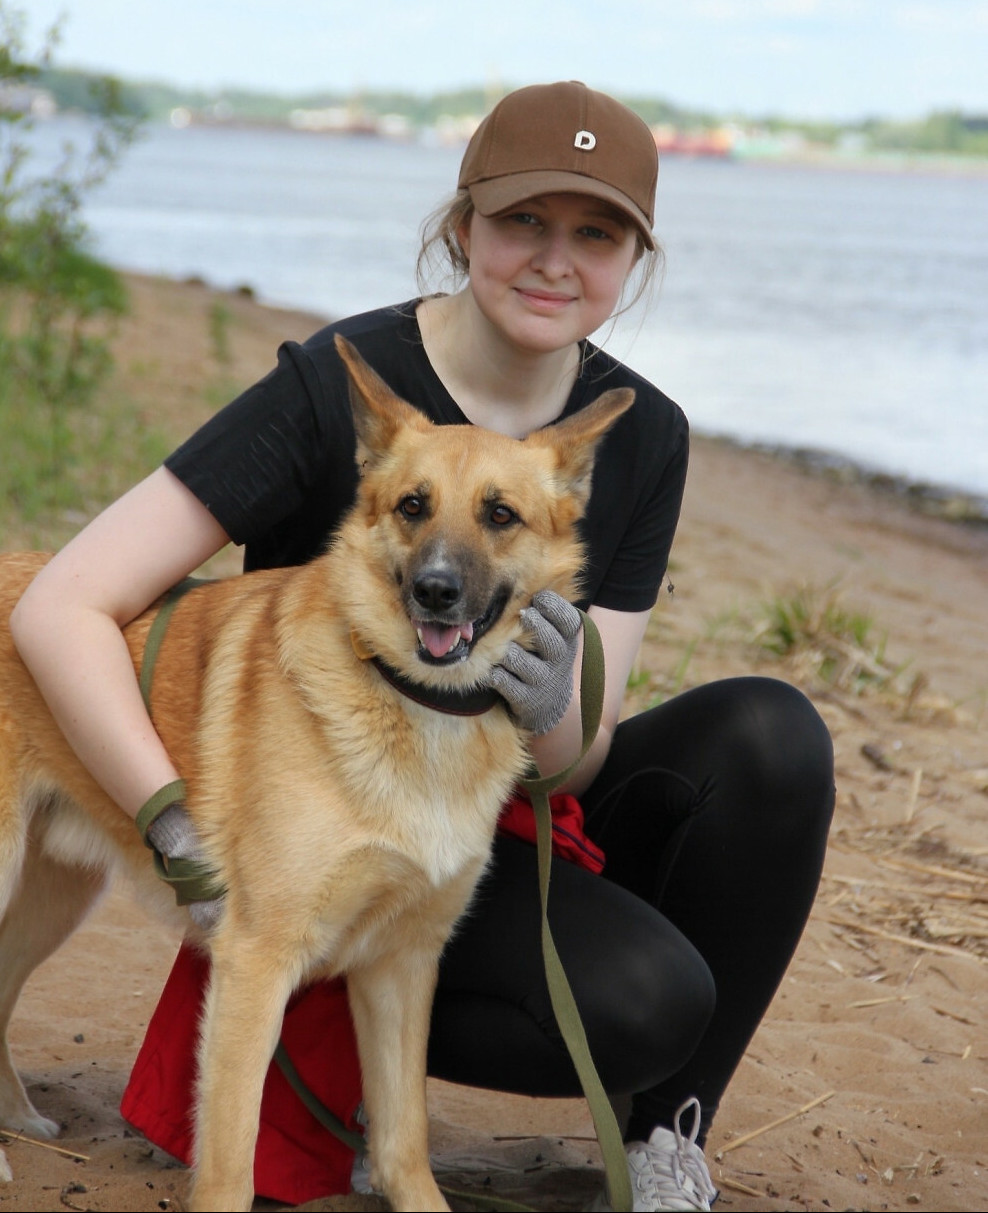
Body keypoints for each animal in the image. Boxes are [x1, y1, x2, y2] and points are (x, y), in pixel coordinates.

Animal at [0, 334, 635, 1213]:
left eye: (500, 514)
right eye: (412, 505)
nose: (436, 591)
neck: (414, 702)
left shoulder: (400, 968)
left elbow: (404, 1142)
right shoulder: (255, 963)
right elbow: (230, 1164)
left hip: (52, 895)